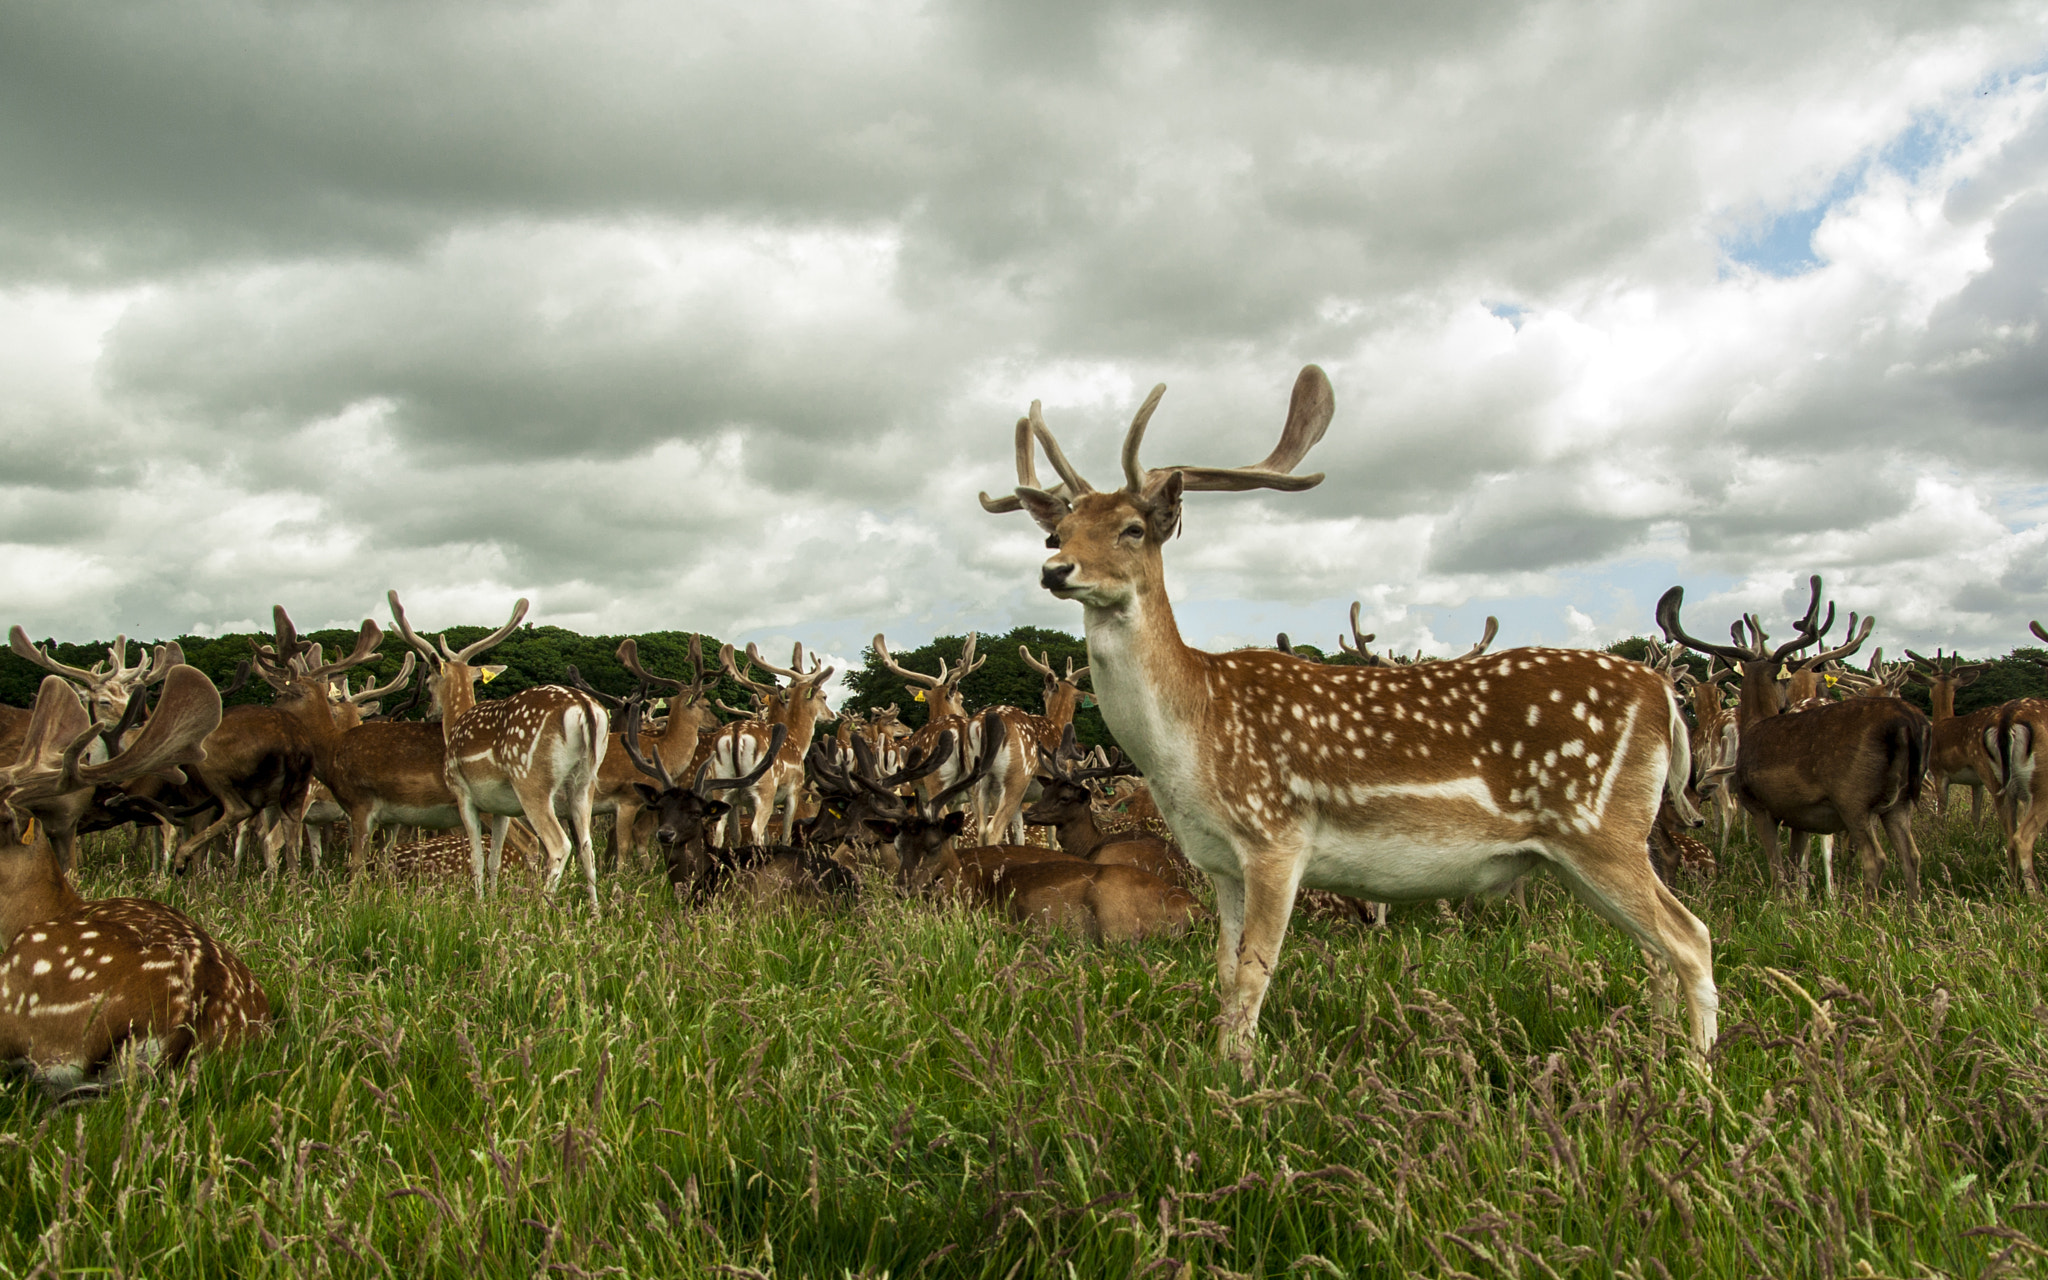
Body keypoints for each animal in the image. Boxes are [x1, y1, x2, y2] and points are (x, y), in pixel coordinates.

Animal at [974, 362, 1712, 1056]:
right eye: (1058, 533)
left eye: (1132, 528)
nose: (1056, 571)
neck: (1192, 737)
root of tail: (1662, 698)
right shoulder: (1218, 859)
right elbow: (1224, 972)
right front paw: (1218, 1066)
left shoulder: (1277, 834)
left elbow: (1255, 973)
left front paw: (1238, 1084)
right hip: (1578, 851)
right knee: (1656, 950)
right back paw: (1659, 1052)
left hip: (1602, 827)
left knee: (1691, 937)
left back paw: (1697, 1073)